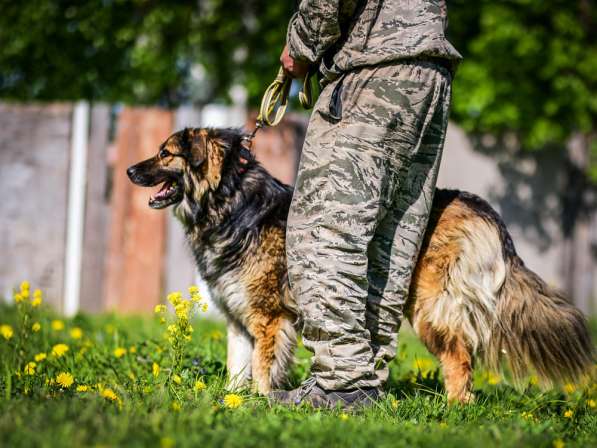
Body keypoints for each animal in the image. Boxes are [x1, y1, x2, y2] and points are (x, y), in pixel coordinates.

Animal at [128, 127, 592, 402]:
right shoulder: (239, 319)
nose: (131, 170)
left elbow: (262, 367)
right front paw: (235, 402)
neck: (231, 204)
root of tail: (479, 207)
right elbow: (237, 368)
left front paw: (261, 402)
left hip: (430, 308)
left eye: (165, 153)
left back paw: (454, 409)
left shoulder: (269, 319)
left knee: (459, 356)